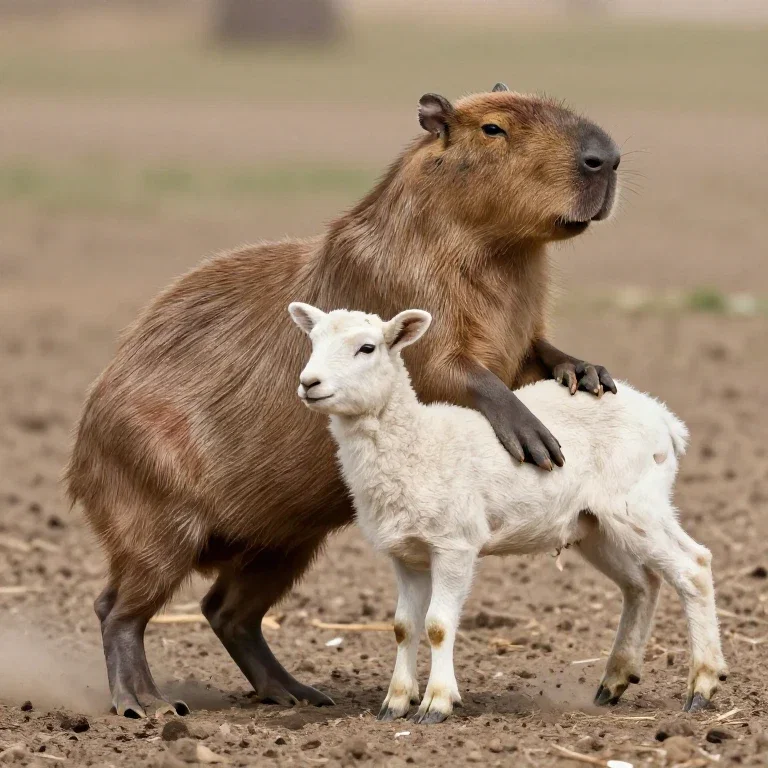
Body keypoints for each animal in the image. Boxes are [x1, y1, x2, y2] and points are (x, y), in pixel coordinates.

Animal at [289, 302, 728, 724]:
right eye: (312, 342)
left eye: (367, 348)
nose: (309, 383)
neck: (418, 441)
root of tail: (663, 417)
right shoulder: (406, 553)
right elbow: (403, 627)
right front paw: (395, 703)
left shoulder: (455, 543)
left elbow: (437, 626)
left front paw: (435, 704)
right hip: (595, 525)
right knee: (642, 583)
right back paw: (616, 678)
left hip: (636, 501)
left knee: (693, 566)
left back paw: (702, 685)